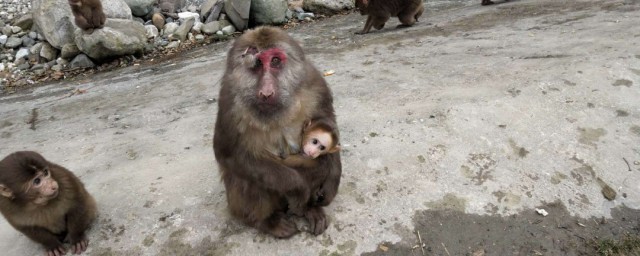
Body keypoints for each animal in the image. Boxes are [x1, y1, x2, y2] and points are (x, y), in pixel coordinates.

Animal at [212, 26, 340, 238]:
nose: (266, 92)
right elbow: (231, 155)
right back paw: (266, 221)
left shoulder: (315, 82)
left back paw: (309, 209)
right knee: (246, 178)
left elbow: (329, 123)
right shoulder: (228, 101)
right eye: (256, 65)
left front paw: (332, 183)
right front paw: (297, 188)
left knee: (321, 164)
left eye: (275, 61)